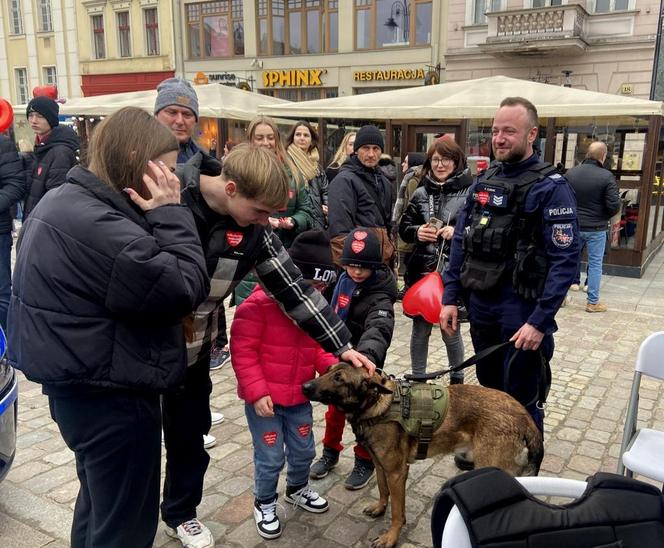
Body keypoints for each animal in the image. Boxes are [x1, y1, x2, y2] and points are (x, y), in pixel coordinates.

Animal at [304, 364, 544, 548]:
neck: (378, 404)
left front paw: (391, 537)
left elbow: (397, 512)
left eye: (339, 378)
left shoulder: (397, 473)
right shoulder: (381, 467)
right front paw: (380, 508)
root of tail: (525, 418)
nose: (304, 386)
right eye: (328, 370)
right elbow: (382, 490)